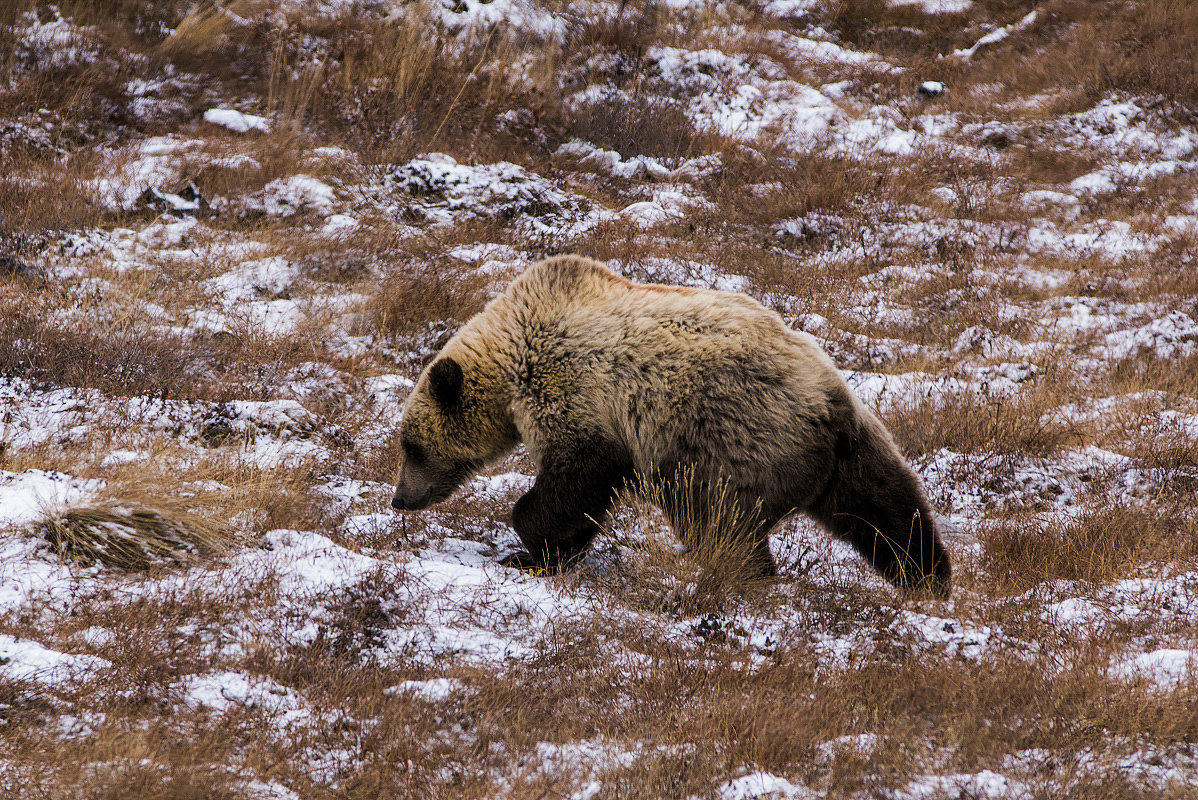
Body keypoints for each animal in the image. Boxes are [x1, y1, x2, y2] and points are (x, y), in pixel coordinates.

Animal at [392, 252, 953, 596]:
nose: (400, 498)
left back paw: (737, 576)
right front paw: (557, 550)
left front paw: (530, 549)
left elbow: (578, 477)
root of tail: (831, 407)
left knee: (716, 521)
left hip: (734, 440)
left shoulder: (576, 392)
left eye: (410, 446)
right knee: (889, 509)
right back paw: (931, 578)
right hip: (855, 446)